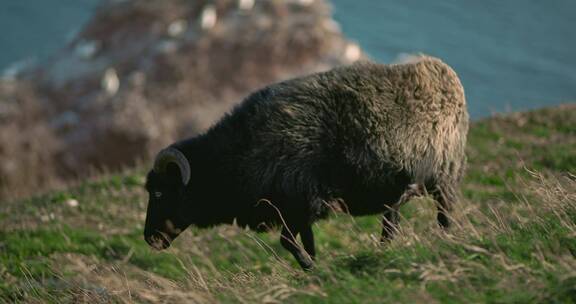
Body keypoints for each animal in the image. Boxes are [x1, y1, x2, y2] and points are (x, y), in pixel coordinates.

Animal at [143, 55, 468, 270]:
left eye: (159, 193)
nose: (149, 239)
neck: (241, 153)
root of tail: (446, 74)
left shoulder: (299, 203)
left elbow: (288, 242)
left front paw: (311, 269)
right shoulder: (298, 209)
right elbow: (307, 242)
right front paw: (314, 267)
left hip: (444, 174)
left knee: (442, 214)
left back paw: (444, 237)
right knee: (393, 219)